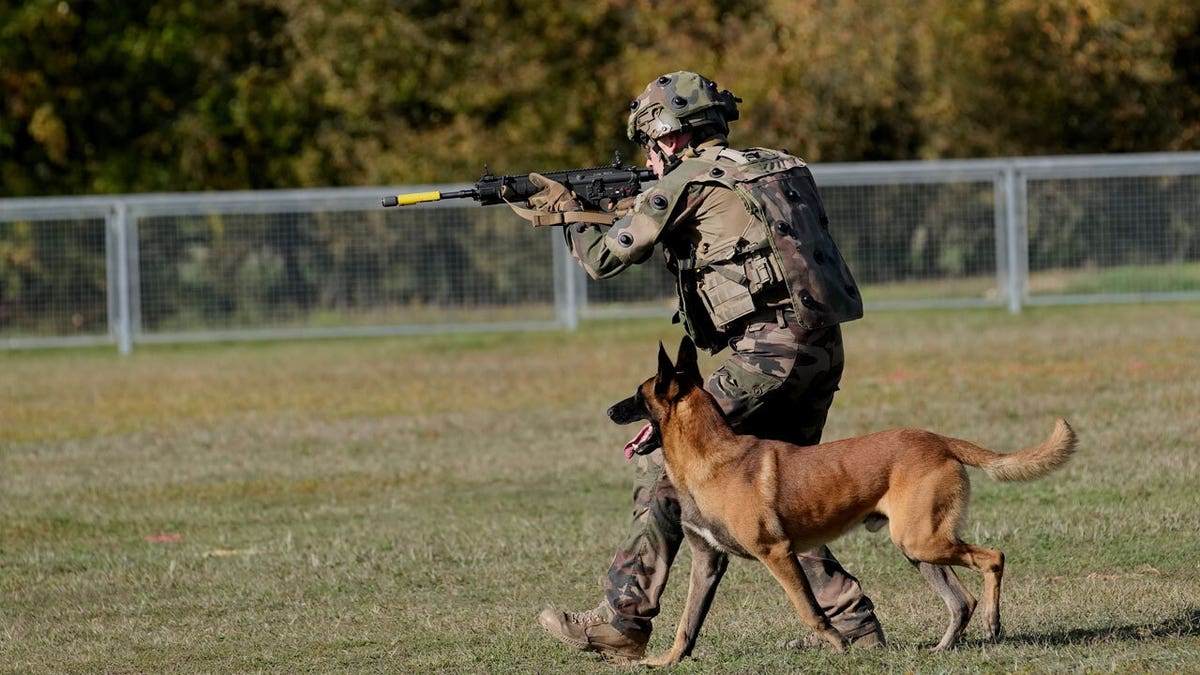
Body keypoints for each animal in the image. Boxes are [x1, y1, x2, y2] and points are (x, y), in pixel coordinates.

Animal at [609, 336, 1080, 662]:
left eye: (638, 394)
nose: (609, 411)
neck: (711, 458)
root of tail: (939, 440)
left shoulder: (778, 553)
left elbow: (810, 610)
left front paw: (839, 647)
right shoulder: (708, 562)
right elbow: (687, 623)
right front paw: (666, 661)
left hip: (923, 541)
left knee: (993, 558)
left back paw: (993, 624)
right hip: (917, 547)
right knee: (960, 600)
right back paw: (944, 648)